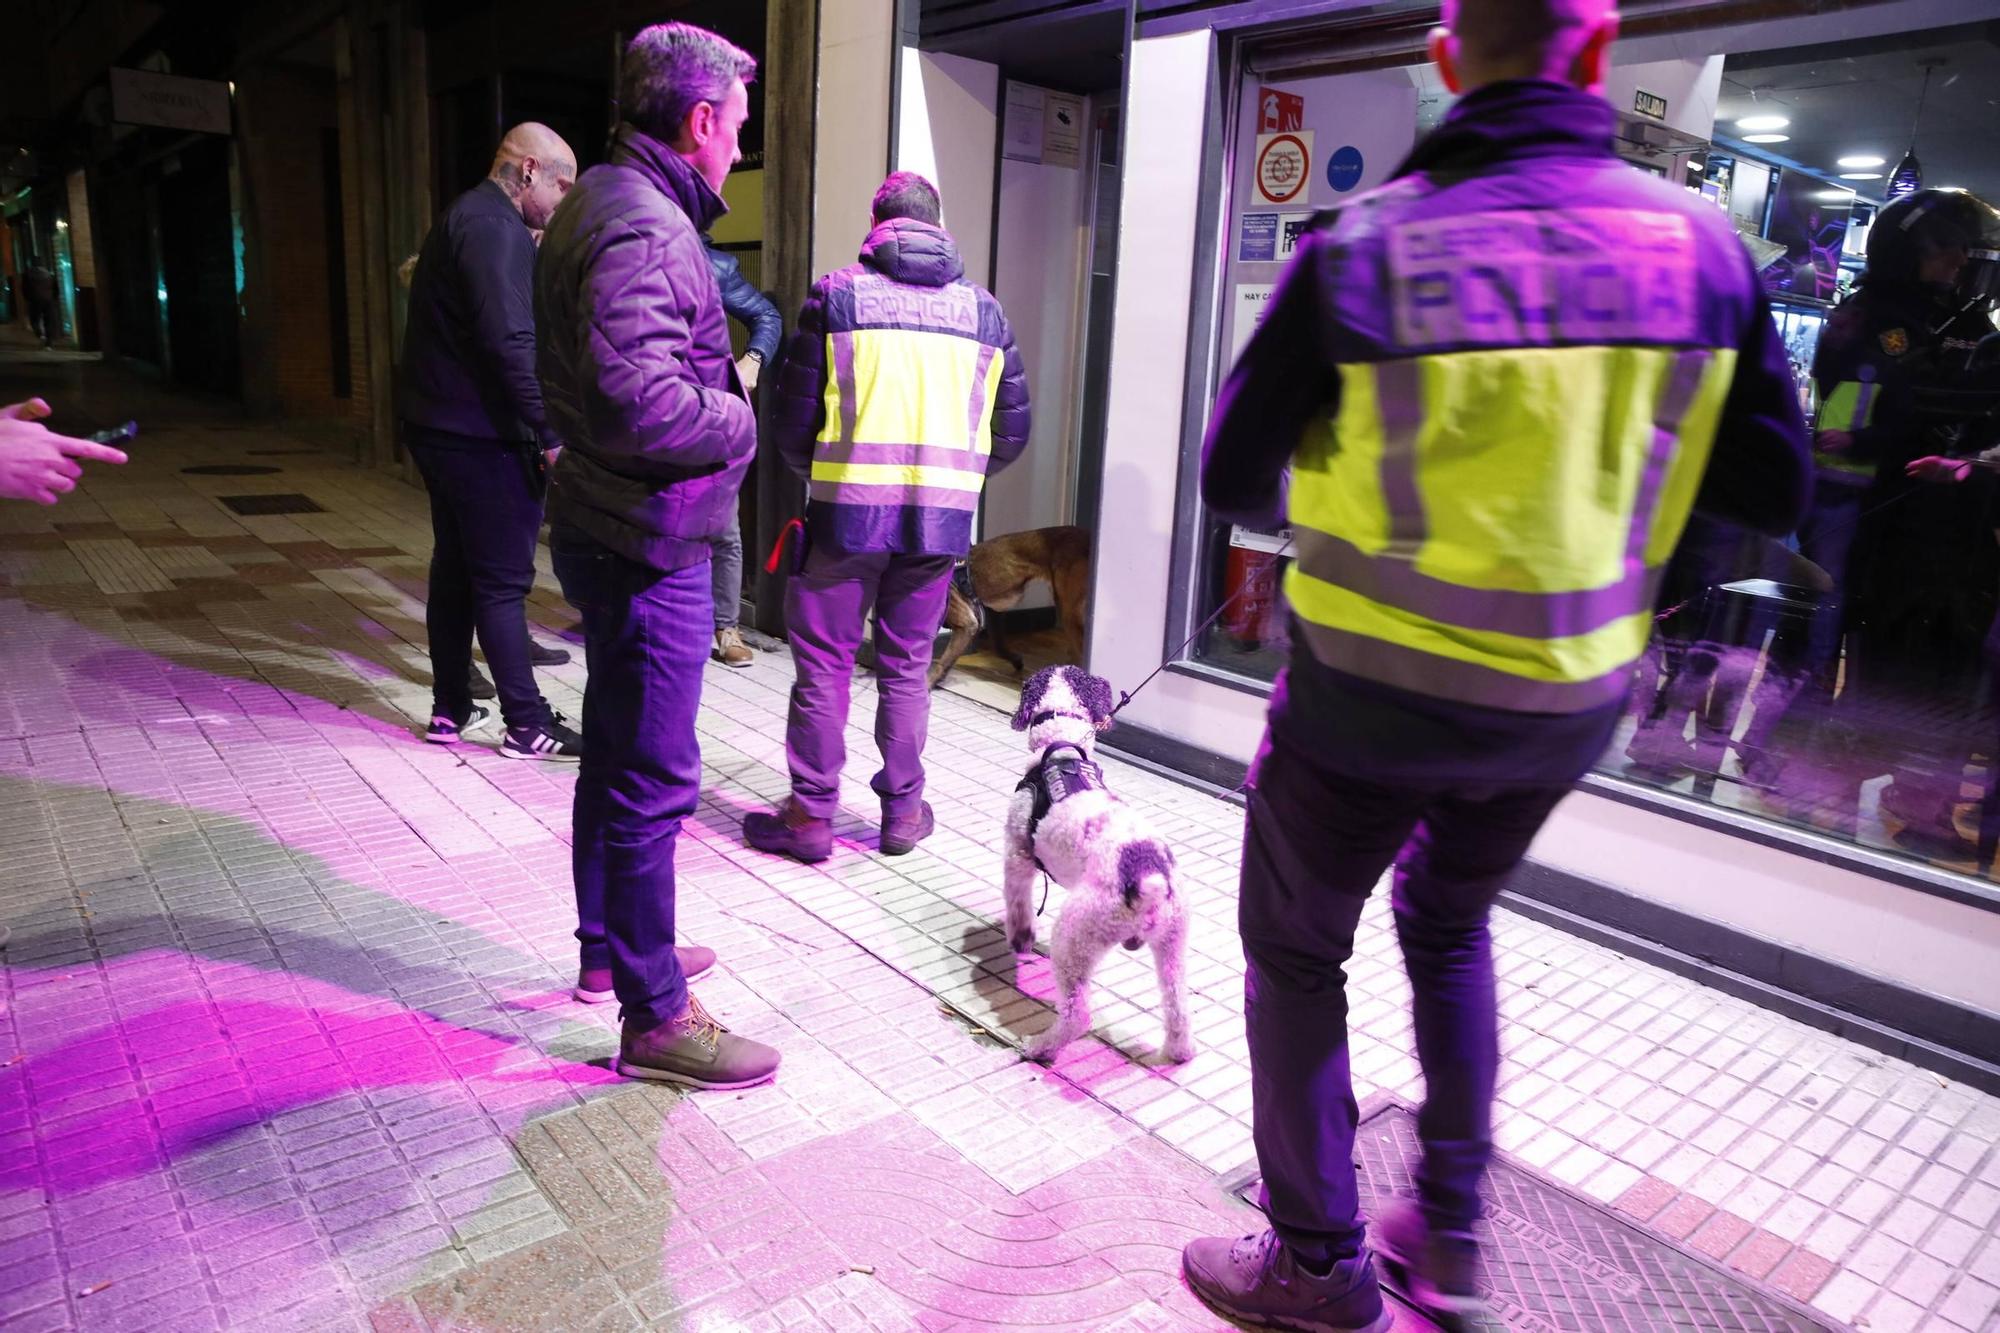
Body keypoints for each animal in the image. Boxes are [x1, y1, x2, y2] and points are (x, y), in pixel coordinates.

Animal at [924, 520, 1088, 684]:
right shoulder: (993, 613)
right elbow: (999, 646)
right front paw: (1016, 660)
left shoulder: (967, 624)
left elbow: (943, 661)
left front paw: (930, 682)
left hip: (1069, 613)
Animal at [1008, 660, 1192, 1056]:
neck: (1062, 743)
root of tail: (1149, 877)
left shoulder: (1017, 852)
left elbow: (1018, 905)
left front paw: (1020, 939)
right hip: (1173, 943)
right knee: (1178, 1008)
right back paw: (1177, 1053)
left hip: (1075, 937)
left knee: (1077, 1013)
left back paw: (1039, 1046)